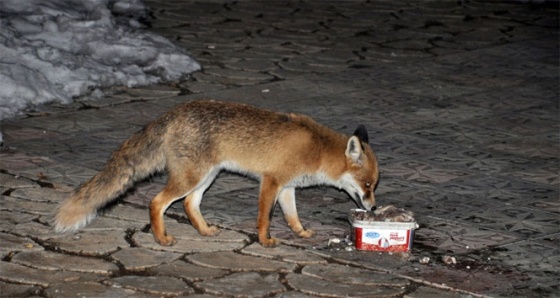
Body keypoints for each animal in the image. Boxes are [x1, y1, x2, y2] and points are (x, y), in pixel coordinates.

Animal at [53, 100, 380, 247]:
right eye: (367, 185)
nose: (374, 208)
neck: (317, 149)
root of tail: (174, 111)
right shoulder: (271, 182)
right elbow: (265, 218)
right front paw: (264, 241)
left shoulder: (288, 188)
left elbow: (293, 217)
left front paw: (301, 233)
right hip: (192, 178)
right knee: (157, 203)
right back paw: (162, 238)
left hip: (207, 176)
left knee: (189, 204)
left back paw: (204, 231)